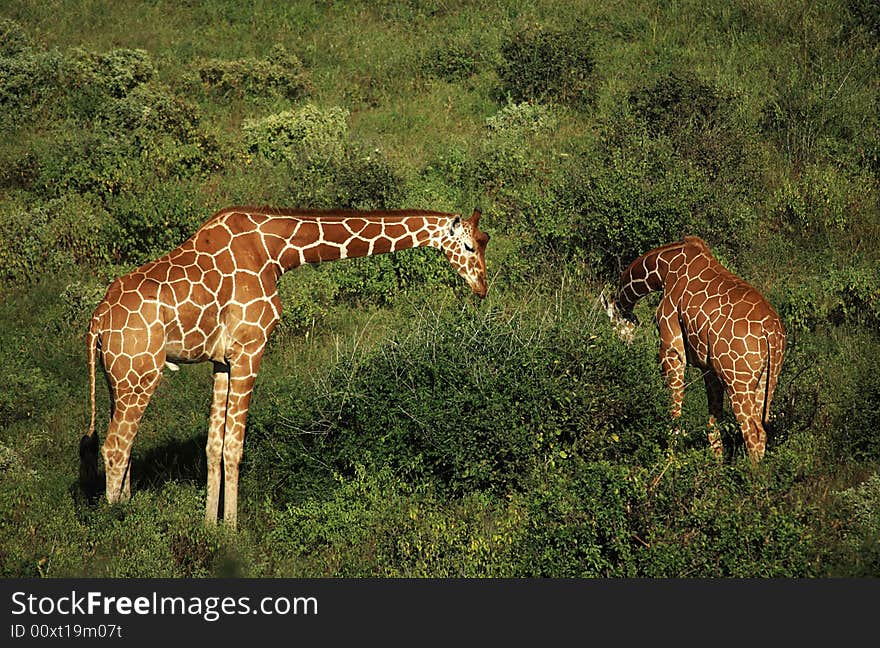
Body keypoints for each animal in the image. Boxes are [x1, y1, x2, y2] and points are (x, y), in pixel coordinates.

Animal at [79, 205, 492, 528]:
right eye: (469, 245)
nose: (482, 287)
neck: (278, 252)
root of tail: (97, 320)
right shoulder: (251, 348)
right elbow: (234, 447)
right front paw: (232, 530)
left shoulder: (222, 361)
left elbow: (213, 446)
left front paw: (210, 525)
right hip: (140, 373)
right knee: (115, 446)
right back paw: (120, 525)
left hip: (118, 378)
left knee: (125, 445)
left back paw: (129, 508)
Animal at [600, 235, 788, 464]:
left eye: (612, 323)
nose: (623, 349)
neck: (663, 270)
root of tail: (771, 331)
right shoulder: (709, 369)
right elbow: (713, 426)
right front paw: (716, 466)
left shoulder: (671, 348)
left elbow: (674, 413)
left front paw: (670, 460)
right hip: (766, 379)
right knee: (761, 430)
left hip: (737, 380)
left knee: (753, 432)